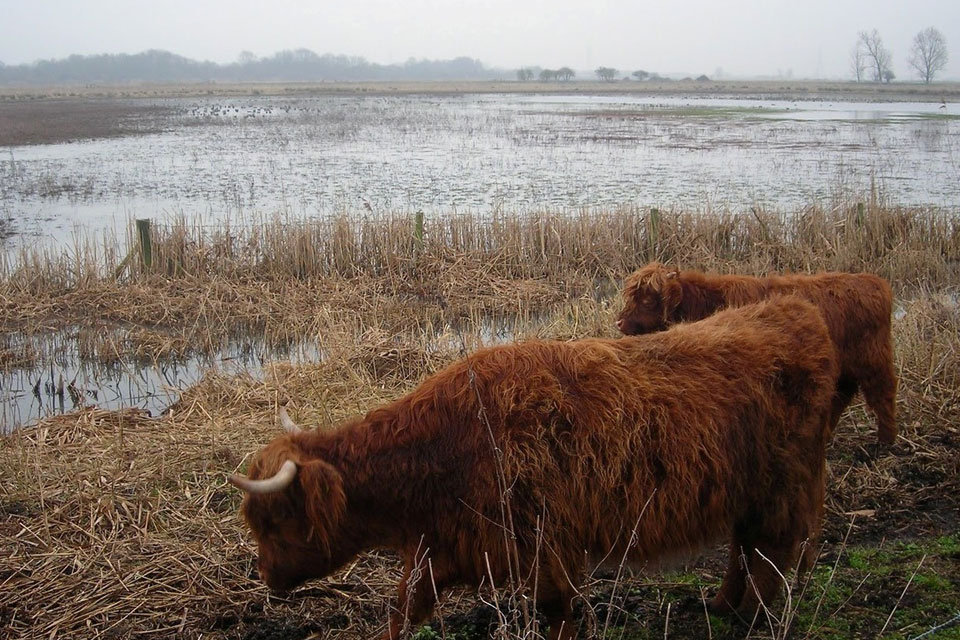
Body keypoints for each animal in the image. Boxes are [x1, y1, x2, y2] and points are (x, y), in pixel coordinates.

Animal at [229, 298, 836, 640]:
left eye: (275, 520)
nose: (266, 576)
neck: (446, 447)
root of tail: (796, 311)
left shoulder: (545, 544)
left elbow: (559, 611)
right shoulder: (448, 546)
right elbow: (404, 608)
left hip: (784, 488)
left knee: (771, 552)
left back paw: (752, 617)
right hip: (748, 492)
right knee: (744, 547)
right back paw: (722, 604)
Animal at [620, 262, 896, 448]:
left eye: (647, 300)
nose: (619, 323)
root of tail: (875, 282)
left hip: (873, 360)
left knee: (883, 394)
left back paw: (886, 442)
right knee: (842, 394)